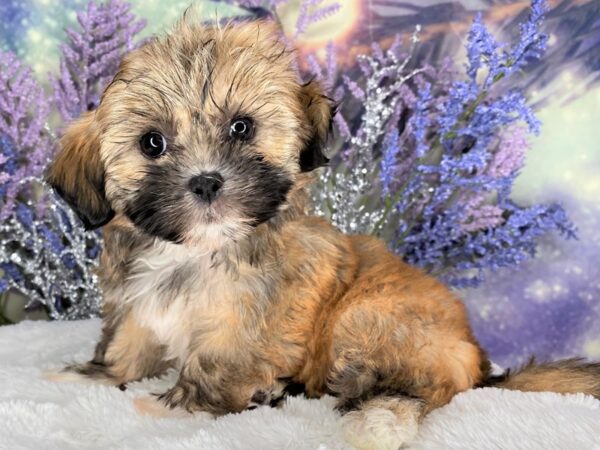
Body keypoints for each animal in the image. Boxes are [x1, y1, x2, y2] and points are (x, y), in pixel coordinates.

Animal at [48, 18, 600, 450]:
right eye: (152, 143)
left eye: (242, 128)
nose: (205, 181)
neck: (199, 250)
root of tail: (481, 362)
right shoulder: (137, 303)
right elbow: (128, 342)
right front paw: (93, 376)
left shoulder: (248, 321)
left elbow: (216, 363)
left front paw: (173, 406)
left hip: (368, 318)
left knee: (419, 388)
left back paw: (376, 419)